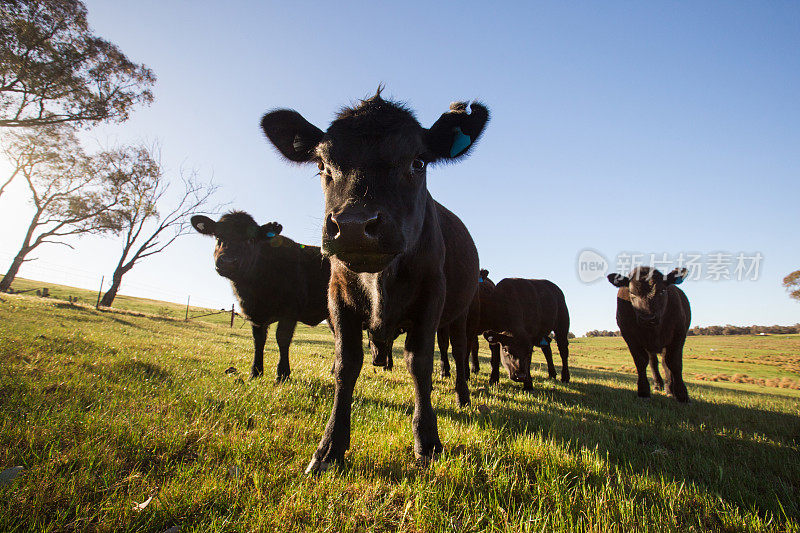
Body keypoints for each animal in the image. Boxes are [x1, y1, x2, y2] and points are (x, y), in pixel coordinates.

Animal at [192, 212, 330, 382]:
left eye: (250, 240)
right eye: (218, 236)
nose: (228, 262)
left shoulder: (290, 311)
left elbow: (282, 339)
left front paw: (282, 374)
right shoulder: (254, 314)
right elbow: (258, 340)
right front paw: (255, 372)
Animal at [262, 89, 488, 472]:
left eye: (418, 162)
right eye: (321, 165)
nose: (354, 226)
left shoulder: (432, 297)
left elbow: (420, 363)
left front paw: (427, 441)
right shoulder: (337, 296)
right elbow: (346, 363)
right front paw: (329, 448)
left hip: (461, 312)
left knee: (457, 352)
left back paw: (462, 397)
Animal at [608, 266, 692, 400]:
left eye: (662, 291)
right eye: (632, 293)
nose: (647, 318)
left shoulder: (678, 335)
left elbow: (674, 363)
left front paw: (681, 394)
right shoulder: (630, 337)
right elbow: (641, 361)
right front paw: (643, 391)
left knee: (665, 363)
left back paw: (669, 388)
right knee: (654, 362)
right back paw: (658, 385)